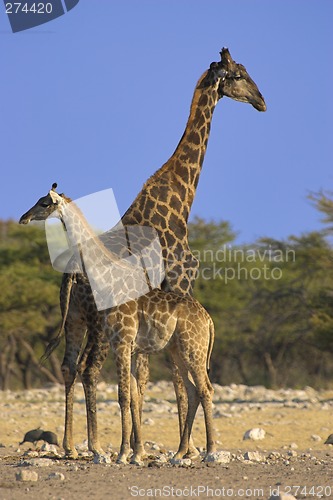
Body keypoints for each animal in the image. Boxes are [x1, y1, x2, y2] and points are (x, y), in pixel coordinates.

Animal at [19, 186, 215, 462]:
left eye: (45, 203)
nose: (23, 217)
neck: (107, 280)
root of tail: (208, 320)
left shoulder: (122, 343)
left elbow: (123, 395)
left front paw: (124, 454)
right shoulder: (125, 346)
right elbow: (131, 396)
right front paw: (135, 453)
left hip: (193, 349)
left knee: (205, 388)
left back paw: (211, 451)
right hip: (177, 351)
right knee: (193, 390)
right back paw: (179, 453)